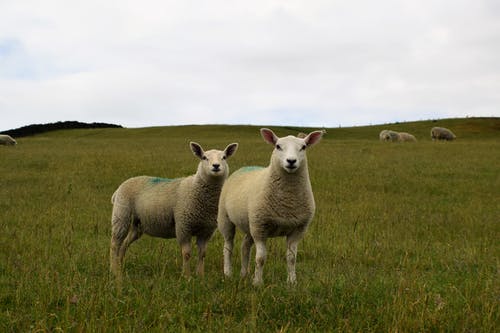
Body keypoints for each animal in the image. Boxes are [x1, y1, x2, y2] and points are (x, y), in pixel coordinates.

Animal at [110, 141, 239, 280]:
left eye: (224, 157)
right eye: (204, 157)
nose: (216, 166)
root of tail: (120, 187)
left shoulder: (206, 231)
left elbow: (202, 253)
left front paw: (200, 276)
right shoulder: (183, 226)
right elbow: (187, 253)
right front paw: (186, 276)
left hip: (137, 224)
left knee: (124, 244)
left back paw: (120, 266)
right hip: (121, 215)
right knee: (115, 244)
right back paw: (114, 271)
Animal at [219, 128, 324, 284]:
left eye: (303, 147)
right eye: (278, 146)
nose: (291, 161)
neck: (287, 202)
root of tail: (243, 168)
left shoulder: (298, 230)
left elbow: (291, 258)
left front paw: (292, 282)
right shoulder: (260, 228)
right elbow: (260, 258)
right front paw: (257, 282)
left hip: (250, 223)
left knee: (245, 247)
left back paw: (244, 273)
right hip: (226, 218)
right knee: (228, 246)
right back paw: (228, 273)